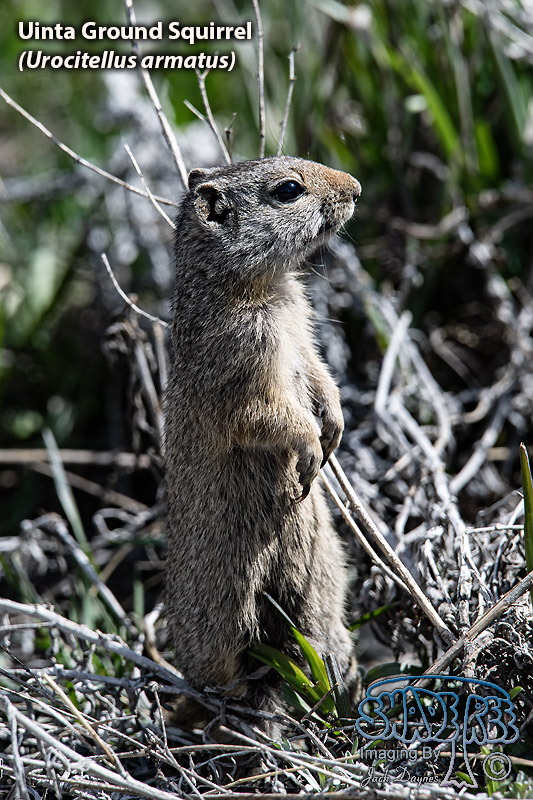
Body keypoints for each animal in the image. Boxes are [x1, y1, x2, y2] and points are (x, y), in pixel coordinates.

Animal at [164, 156, 361, 728]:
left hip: (318, 592)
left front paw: (336, 427)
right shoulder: (244, 370)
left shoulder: (303, 336)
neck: (265, 288)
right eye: (288, 190)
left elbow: (321, 377)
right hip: (227, 620)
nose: (357, 188)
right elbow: (273, 417)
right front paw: (312, 454)